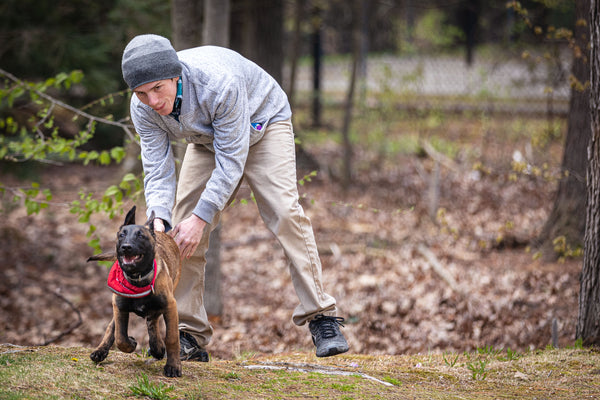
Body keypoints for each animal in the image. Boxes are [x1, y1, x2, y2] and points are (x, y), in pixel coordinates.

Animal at [89, 206, 182, 378]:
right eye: (122, 235)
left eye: (140, 236)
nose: (126, 247)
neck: (137, 279)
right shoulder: (119, 307)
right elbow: (120, 336)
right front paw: (131, 342)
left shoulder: (170, 306)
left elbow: (172, 338)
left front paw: (173, 366)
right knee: (113, 326)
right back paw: (100, 351)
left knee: (152, 320)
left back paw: (157, 347)